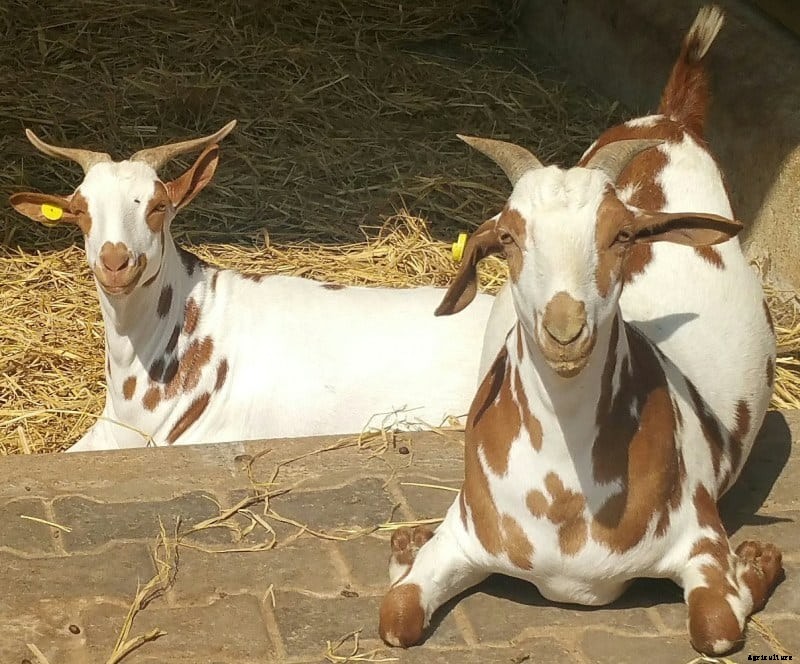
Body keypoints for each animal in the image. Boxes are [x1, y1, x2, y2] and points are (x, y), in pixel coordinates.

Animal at [378, 5, 781, 656]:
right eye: (507, 236)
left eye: (623, 235)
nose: (564, 330)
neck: (565, 491)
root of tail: (669, 121)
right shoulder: (466, 536)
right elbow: (395, 618)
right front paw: (407, 551)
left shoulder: (697, 539)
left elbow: (717, 629)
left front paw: (757, 562)